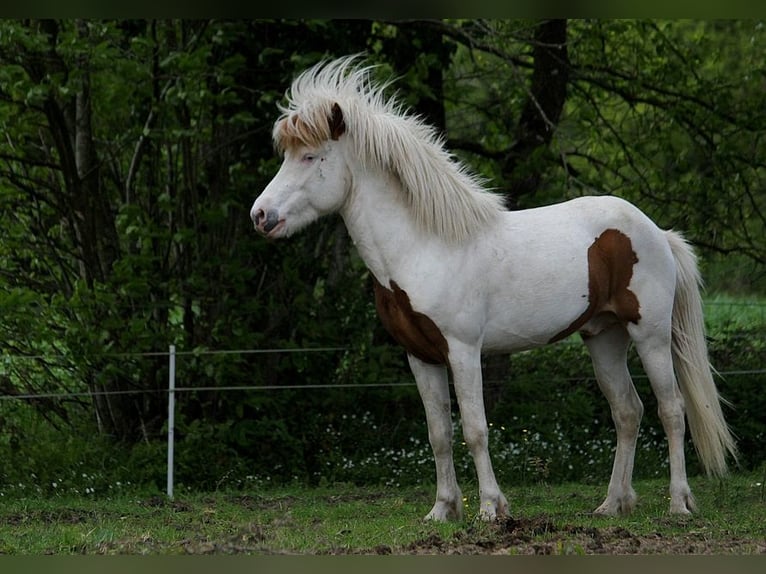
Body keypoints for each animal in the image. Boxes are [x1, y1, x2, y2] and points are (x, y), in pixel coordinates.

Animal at [250, 55, 736, 520]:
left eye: (311, 157)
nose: (260, 216)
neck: (425, 245)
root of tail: (656, 231)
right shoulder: (421, 357)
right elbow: (439, 434)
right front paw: (442, 509)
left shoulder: (463, 351)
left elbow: (475, 430)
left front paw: (490, 507)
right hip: (604, 336)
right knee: (628, 412)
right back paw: (612, 504)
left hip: (650, 335)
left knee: (671, 410)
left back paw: (678, 504)